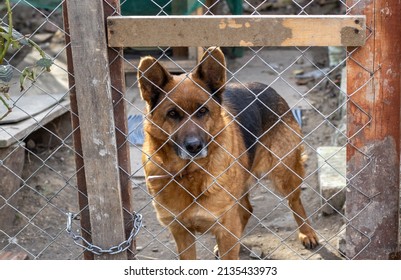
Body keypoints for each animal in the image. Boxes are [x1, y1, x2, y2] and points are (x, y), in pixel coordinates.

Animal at [138, 47, 318, 260]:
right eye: (172, 114)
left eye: (203, 111)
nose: (194, 147)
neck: (189, 174)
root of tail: (267, 88)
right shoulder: (182, 233)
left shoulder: (226, 228)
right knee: (247, 210)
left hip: (284, 173)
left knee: (295, 201)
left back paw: (307, 233)